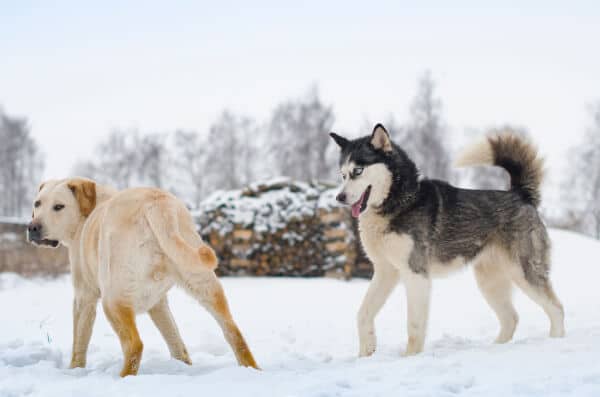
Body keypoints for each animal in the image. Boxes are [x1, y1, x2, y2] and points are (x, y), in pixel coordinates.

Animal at [330, 124, 564, 356]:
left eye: (358, 171)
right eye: (342, 175)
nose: (339, 198)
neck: (399, 202)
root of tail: (520, 194)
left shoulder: (416, 274)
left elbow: (414, 326)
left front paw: (410, 358)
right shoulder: (385, 271)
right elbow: (362, 314)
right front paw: (366, 351)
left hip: (524, 272)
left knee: (556, 309)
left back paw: (556, 340)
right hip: (489, 282)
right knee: (511, 318)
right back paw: (497, 348)